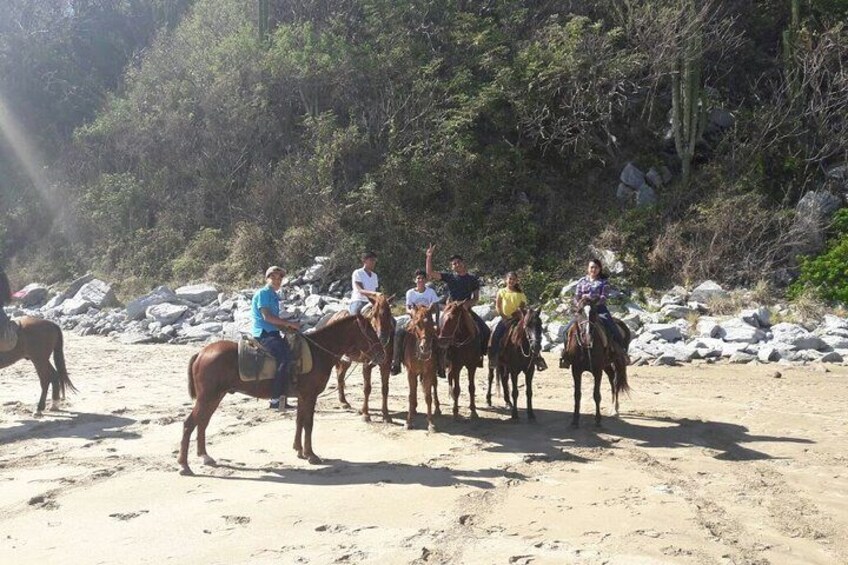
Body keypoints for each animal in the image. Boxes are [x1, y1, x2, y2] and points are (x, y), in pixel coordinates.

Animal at [0, 270, 75, 416]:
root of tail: (51, 323)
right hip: (42, 359)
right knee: (54, 376)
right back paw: (54, 404)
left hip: (39, 360)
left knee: (46, 380)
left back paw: (39, 409)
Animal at [179, 310, 384, 474]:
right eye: (370, 331)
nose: (381, 354)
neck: (318, 352)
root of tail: (201, 353)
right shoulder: (309, 396)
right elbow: (308, 424)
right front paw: (311, 455)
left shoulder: (302, 397)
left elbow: (300, 422)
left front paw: (299, 450)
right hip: (208, 397)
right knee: (190, 424)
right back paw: (184, 465)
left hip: (215, 397)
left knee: (202, 423)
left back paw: (205, 456)